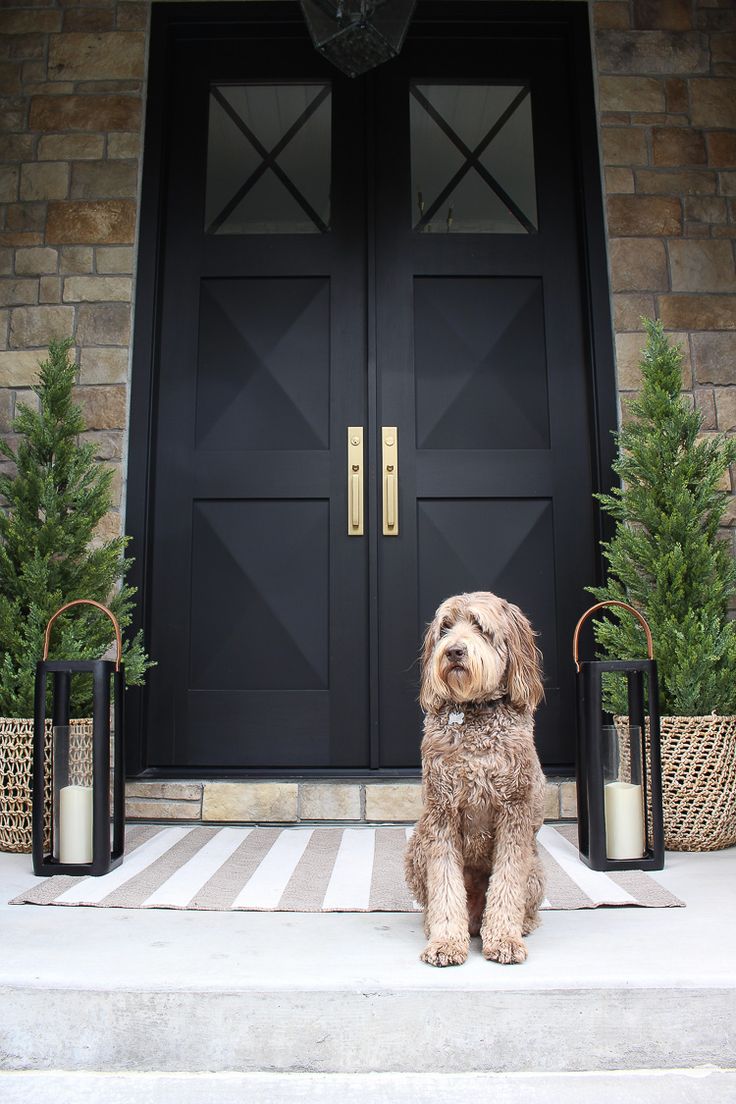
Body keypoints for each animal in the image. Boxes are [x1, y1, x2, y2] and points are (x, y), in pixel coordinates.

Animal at [403, 591, 547, 962]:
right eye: (445, 627)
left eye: (480, 627)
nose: (454, 650)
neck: (474, 714)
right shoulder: (442, 812)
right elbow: (445, 885)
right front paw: (445, 942)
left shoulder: (515, 811)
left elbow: (507, 883)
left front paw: (505, 939)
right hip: (418, 845)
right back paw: (436, 926)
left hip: (535, 865)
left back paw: (520, 925)